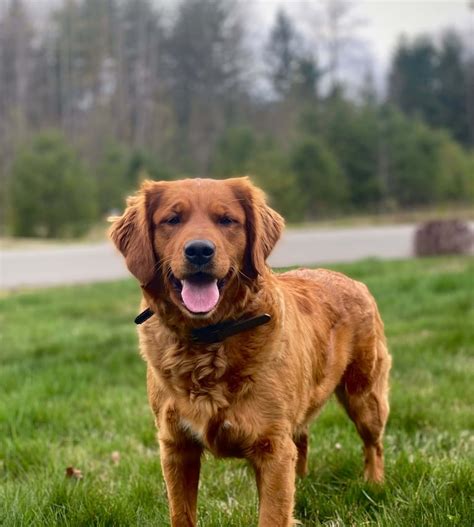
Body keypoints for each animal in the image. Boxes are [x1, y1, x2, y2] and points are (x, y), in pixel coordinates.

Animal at [109, 178, 390, 527]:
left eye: (227, 220)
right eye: (172, 220)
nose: (199, 250)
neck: (209, 338)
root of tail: (351, 280)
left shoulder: (272, 449)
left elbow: (272, 515)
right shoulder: (176, 447)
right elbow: (182, 514)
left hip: (364, 397)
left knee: (373, 444)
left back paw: (374, 483)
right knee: (303, 440)